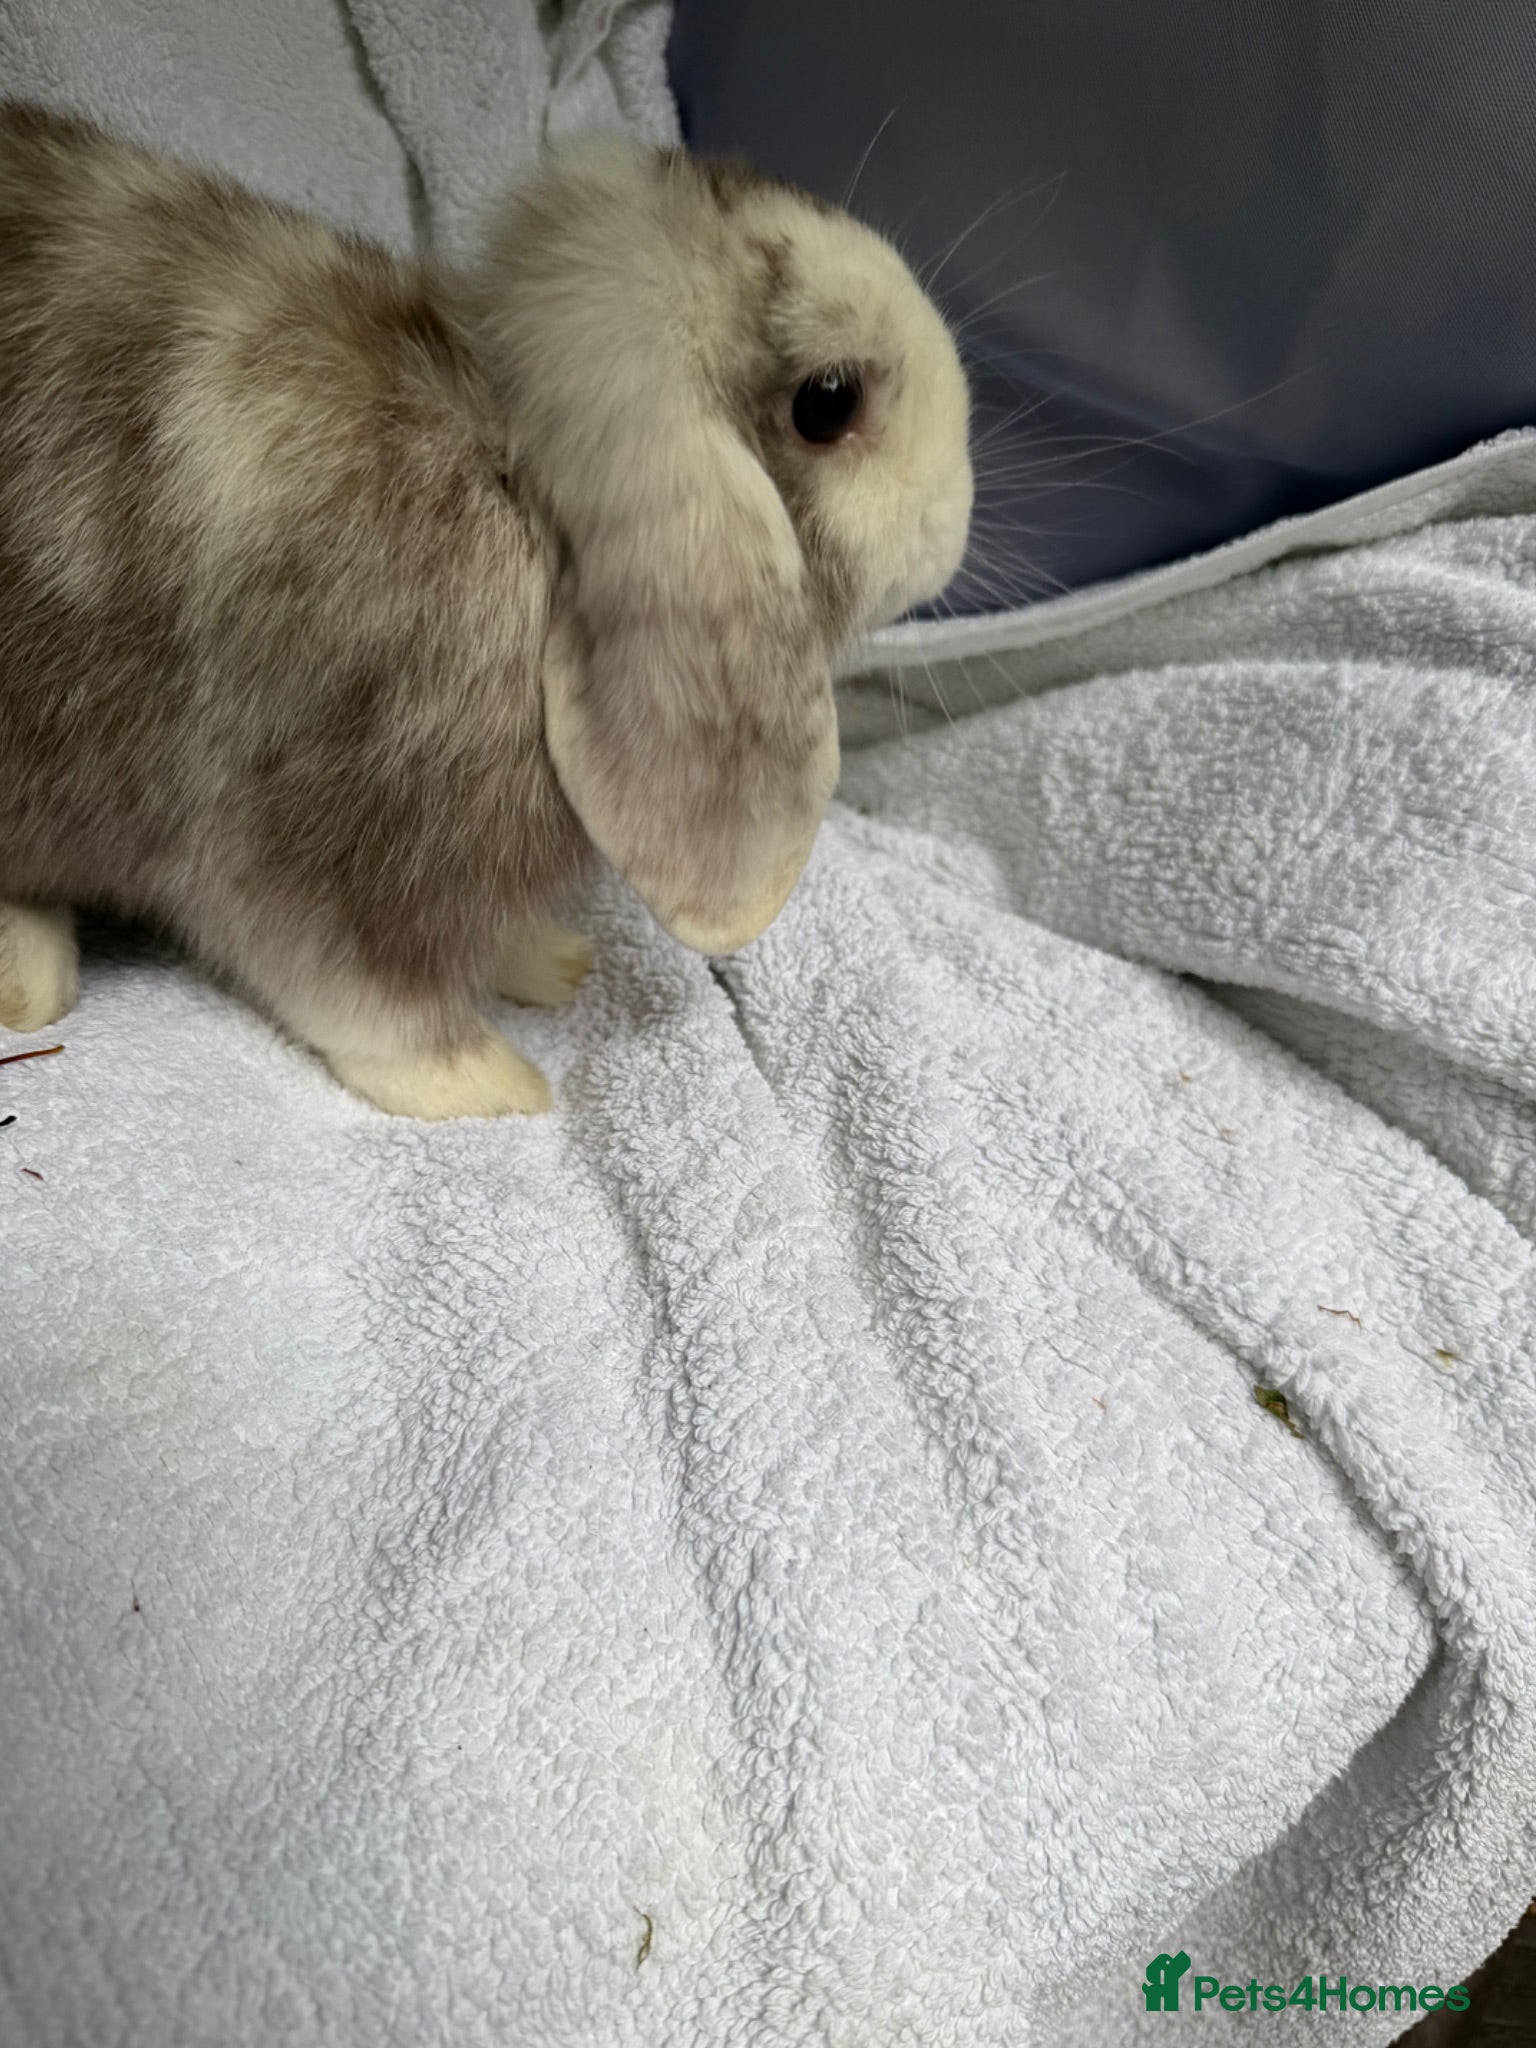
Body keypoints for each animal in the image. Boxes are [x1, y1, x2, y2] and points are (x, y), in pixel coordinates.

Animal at [0, 102, 972, 1117]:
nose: (957, 519)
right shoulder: (312, 846)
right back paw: (31, 980)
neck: (518, 496)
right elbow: (357, 995)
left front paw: (545, 960)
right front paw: (490, 1084)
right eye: (829, 403)